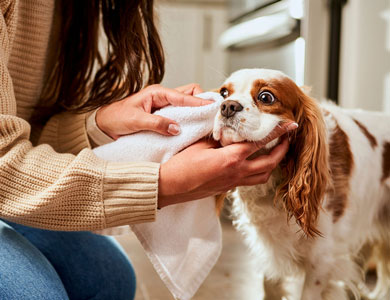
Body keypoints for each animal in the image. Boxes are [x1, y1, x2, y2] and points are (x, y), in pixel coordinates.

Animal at [213, 68, 390, 300]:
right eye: (223, 93)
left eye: (266, 97)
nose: (227, 106)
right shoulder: (273, 248)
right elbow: (270, 285)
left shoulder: (321, 259)